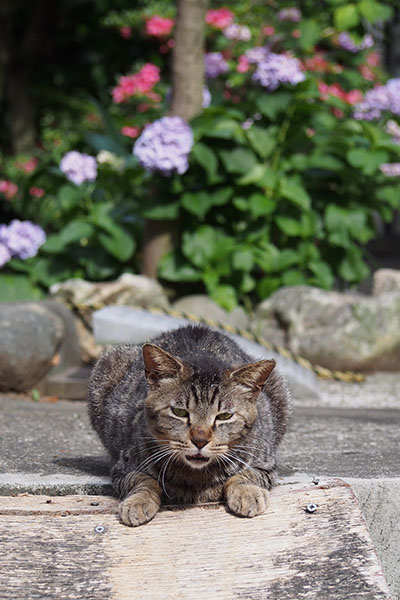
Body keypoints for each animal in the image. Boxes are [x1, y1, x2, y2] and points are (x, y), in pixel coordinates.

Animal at [87, 326, 292, 528]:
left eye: (224, 416)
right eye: (179, 412)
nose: (199, 440)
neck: (196, 477)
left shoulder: (266, 465)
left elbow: (246, 474)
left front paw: (247, 492)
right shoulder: (124, 467)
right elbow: (143, 480)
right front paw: (138, 501)